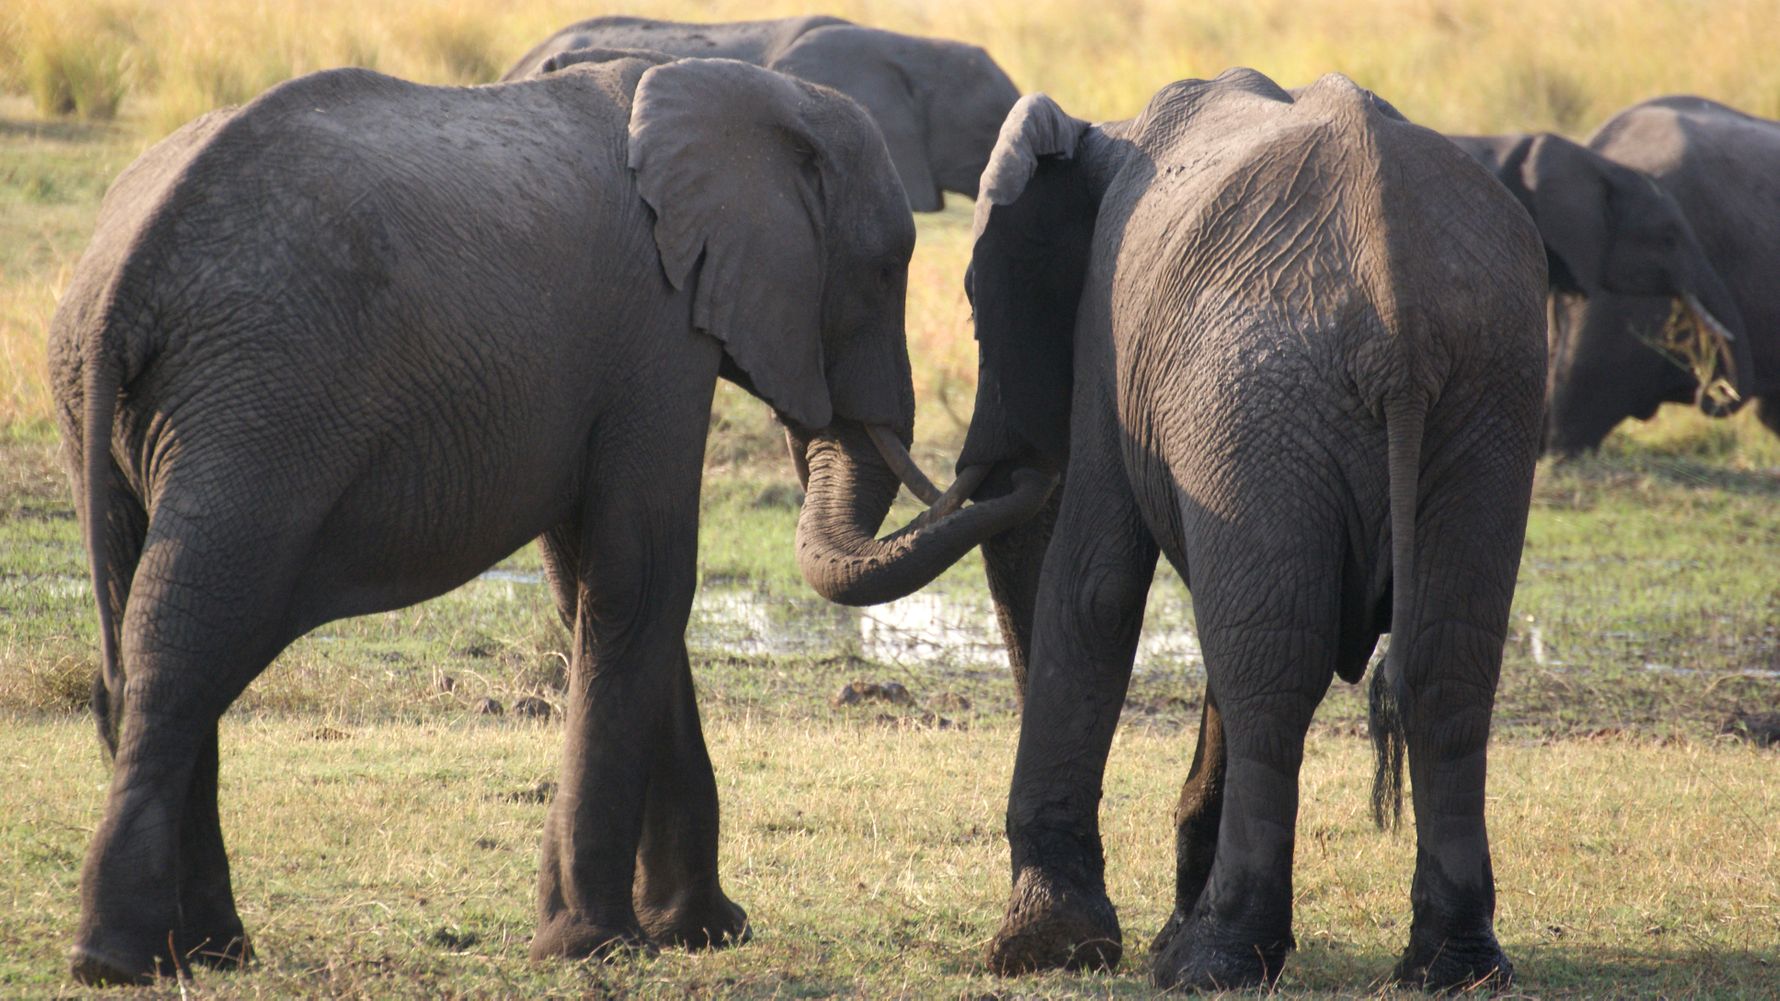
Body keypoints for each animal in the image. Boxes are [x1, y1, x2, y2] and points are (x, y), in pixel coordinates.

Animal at [47, 54, 1050, 985]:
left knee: (153, 630)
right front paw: (599, 946)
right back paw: (123, 959)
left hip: (127, 414)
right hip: (260, 406)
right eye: (887, 268)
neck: (753, 92)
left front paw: (699, 930)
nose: (1017, 476)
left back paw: (209, 952)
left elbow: (596, 589)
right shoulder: (656, 332)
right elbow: (644, 581)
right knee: (185, 639)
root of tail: (123, 276)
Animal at [804, 69, 1550, 990]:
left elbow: (1093, 584)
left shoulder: (1106, 334)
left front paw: (1044, 949)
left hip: (1256, 395)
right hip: (1482, 394)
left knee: (1273, 671)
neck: (1108, 128)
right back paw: (1450, 967)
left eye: (975, 298)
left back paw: (1210, 963)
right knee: (1442, 661)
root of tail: (1397, 312)